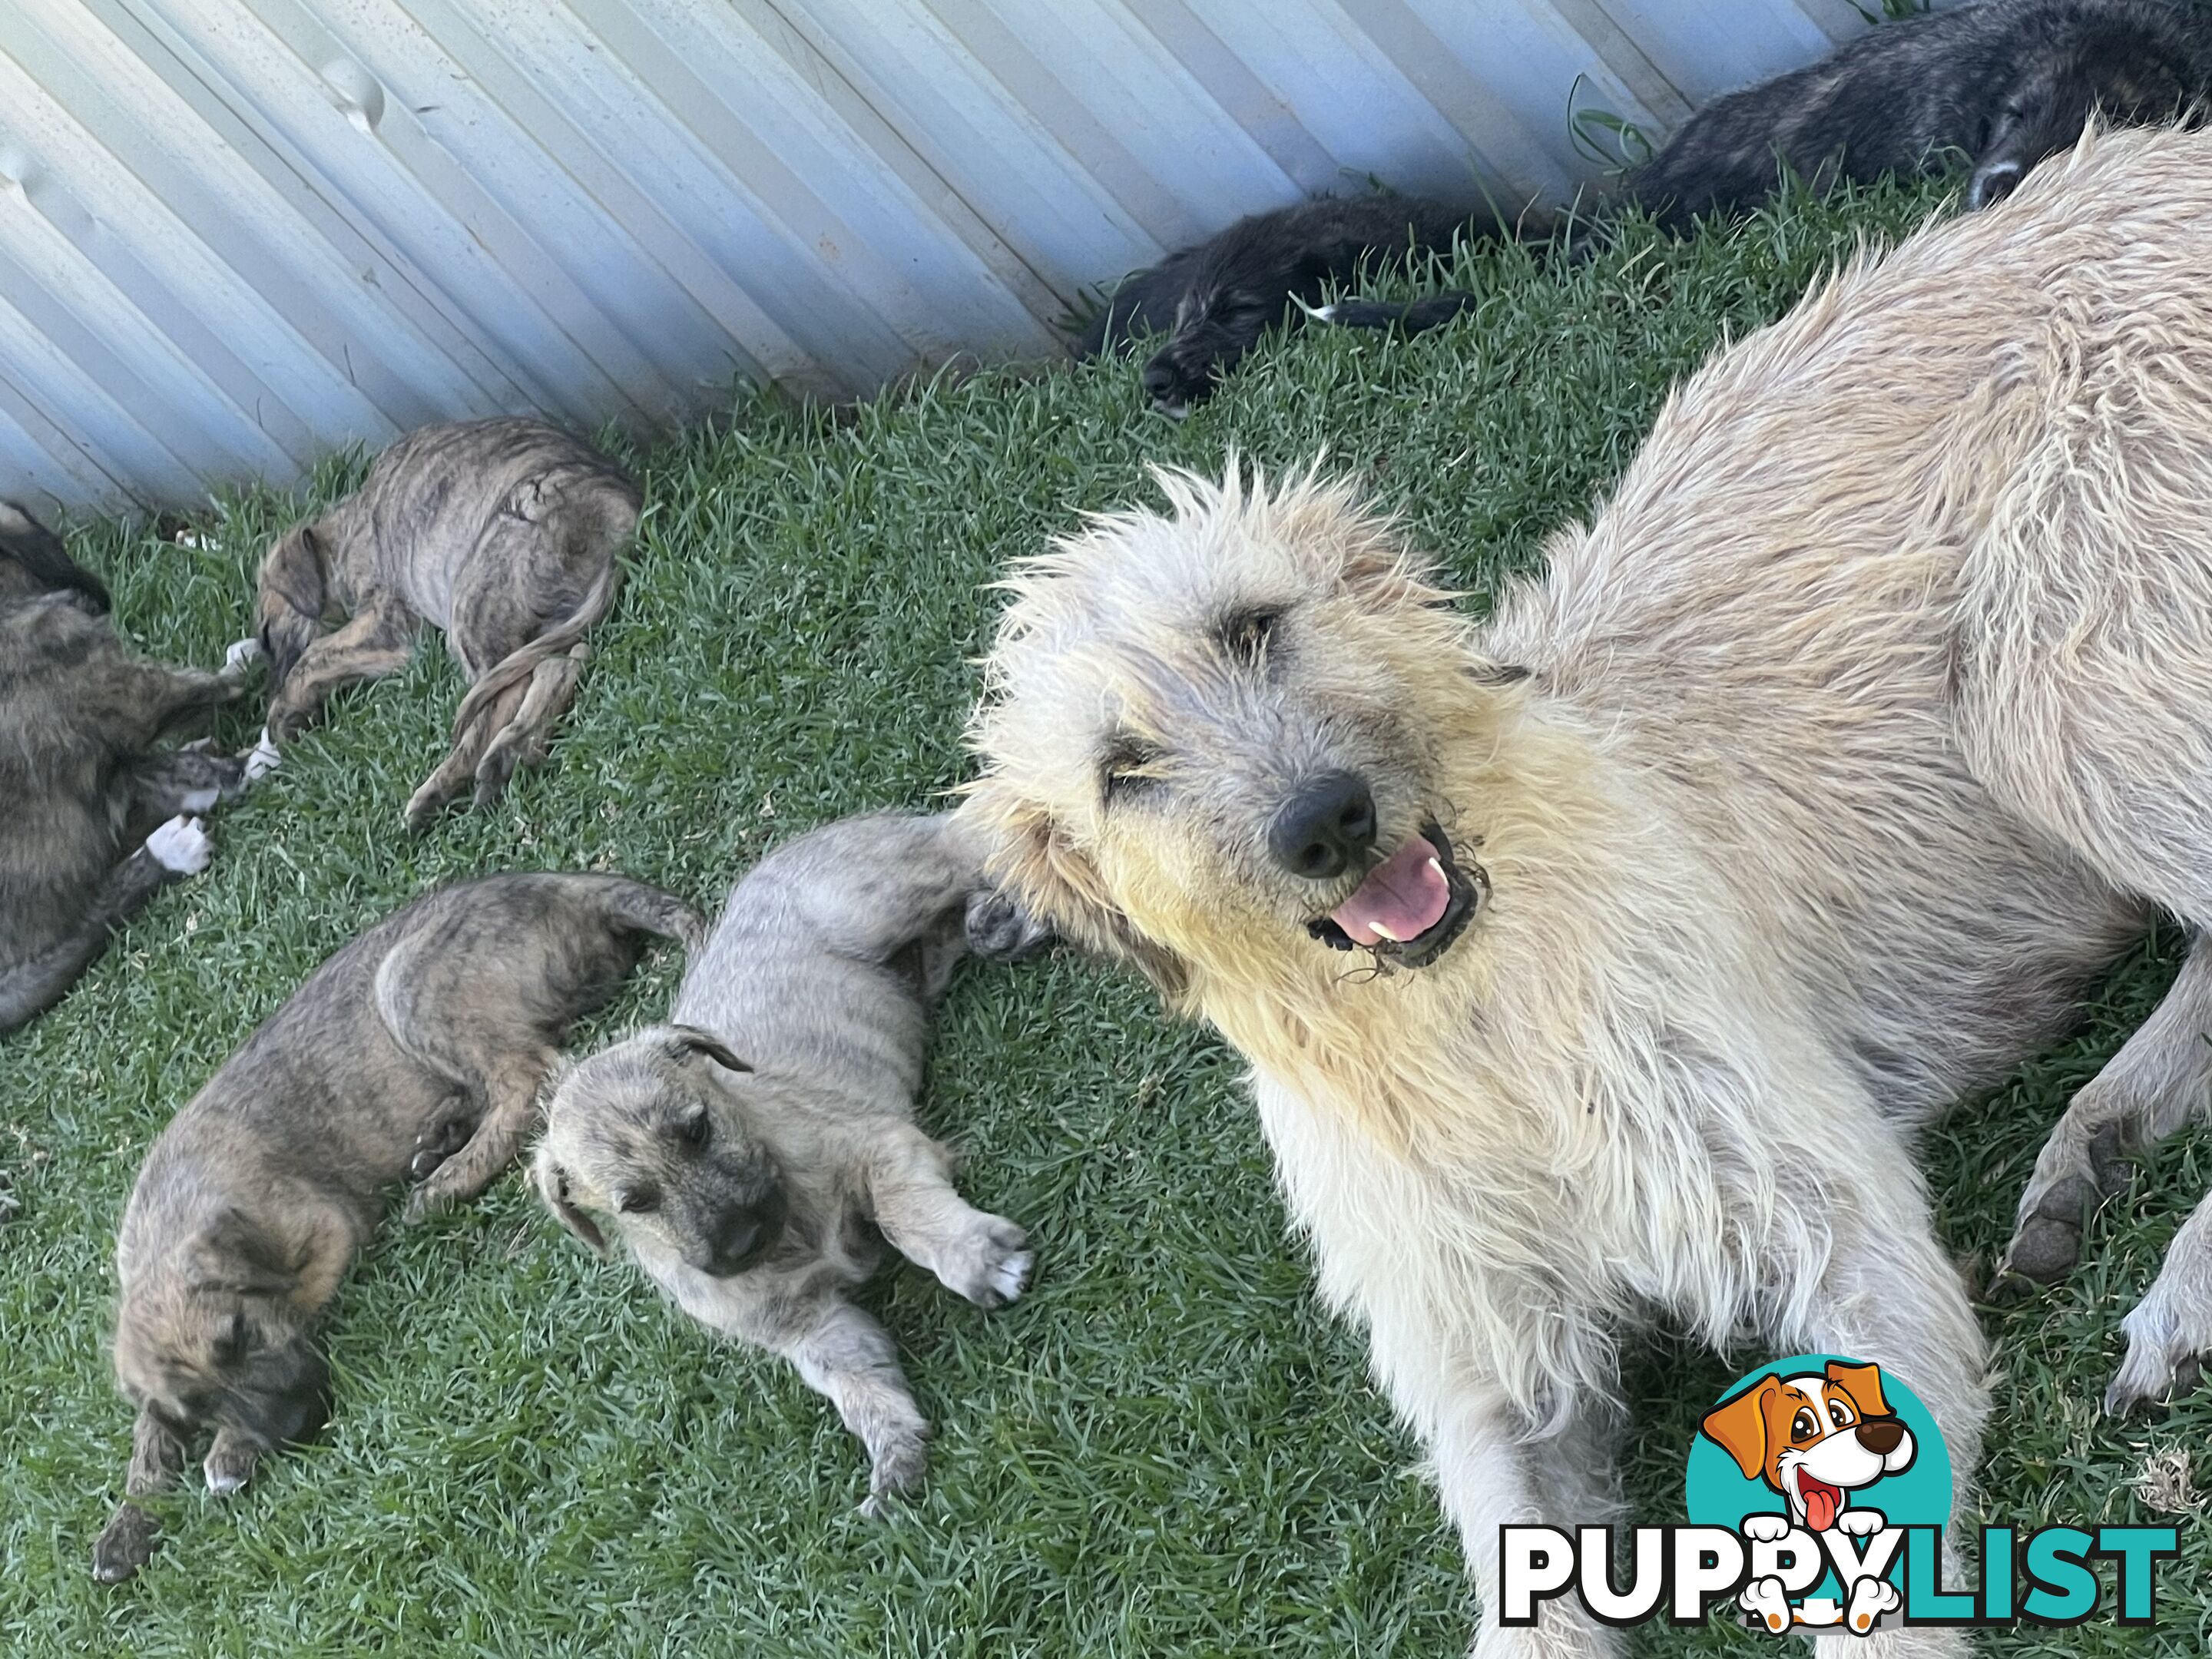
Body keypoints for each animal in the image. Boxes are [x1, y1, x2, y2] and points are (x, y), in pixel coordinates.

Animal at [92, 871, 699, 1584]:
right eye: (200, 1405)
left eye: (240, 1337)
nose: (294, 1426)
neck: (168, 1218)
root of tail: (566, 883)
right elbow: (147, 1437)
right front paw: (128, 1521)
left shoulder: (326, 1233)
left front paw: (229, 1454)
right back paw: (440, 1137)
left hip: (404, 983)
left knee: (529, 1078)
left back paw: (446, 1179)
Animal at [255, 418, 645, 827]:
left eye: (266, 635)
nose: (265, 693)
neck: (343, 533)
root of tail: (614, 506)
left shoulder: (390, 623)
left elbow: (311, 657)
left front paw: (283, 714)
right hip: (541, 624)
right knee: (560, 663)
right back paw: (512, 751)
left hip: (472, 605)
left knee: (501, 700)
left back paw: (443, 786)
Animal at [541, 813, 1044, 1522]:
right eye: (634, 1202)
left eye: (697, 1129)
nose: (743, 1238)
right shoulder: (808, 1327)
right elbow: (857, 1383)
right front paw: (894, 1451)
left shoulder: (879, 1144)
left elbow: (904, 1213)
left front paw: (973, 1256)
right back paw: (1001, 920)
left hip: (884, 897)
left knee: (978, 836)